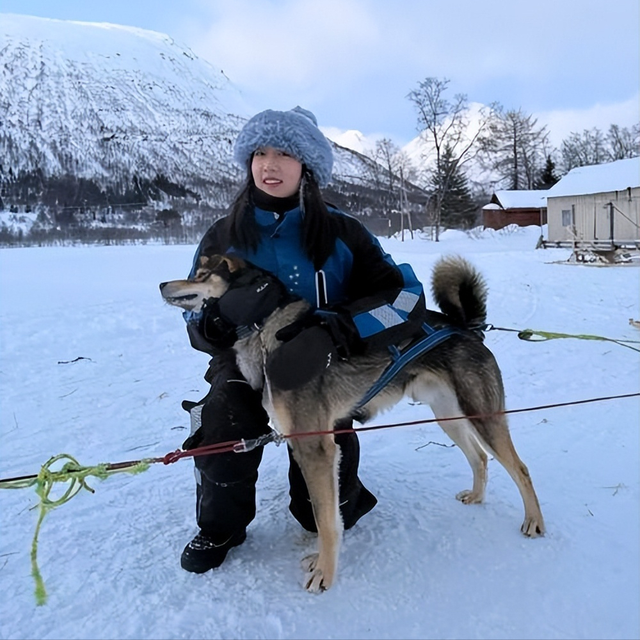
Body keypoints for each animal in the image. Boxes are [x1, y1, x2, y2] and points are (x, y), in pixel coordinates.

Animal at [160, 252, 544, 592]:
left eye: (201, 274)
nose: (163, 283)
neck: (267, 332)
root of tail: (465, 327)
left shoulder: (316, 448)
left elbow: (326, 521)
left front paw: (324, 573)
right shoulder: (307, 445)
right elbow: (326, 516)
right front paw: (321, 563)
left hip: (482, 416)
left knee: (521, 468)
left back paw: (534, 521)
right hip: (448, 416)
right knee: (479, 457)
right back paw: (477, 496)